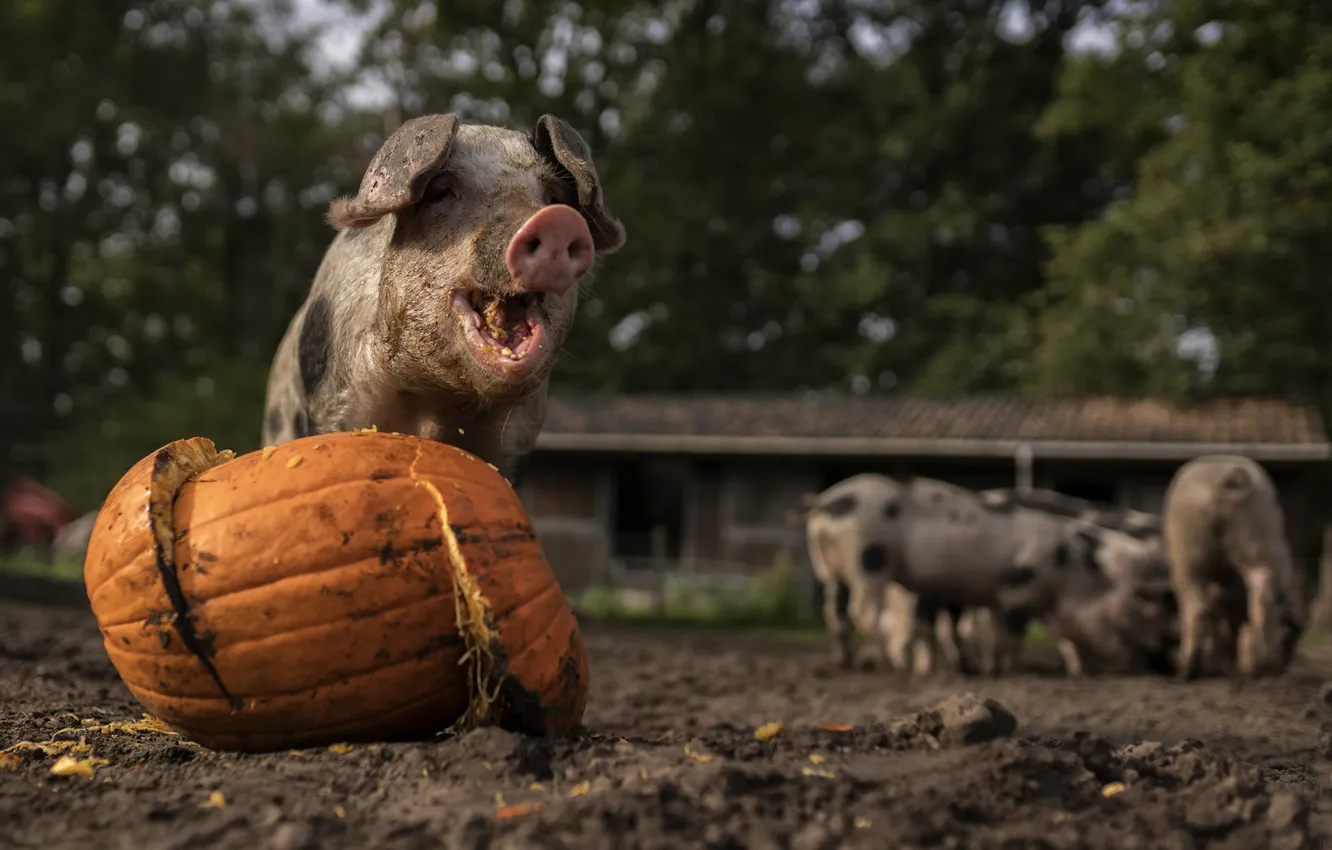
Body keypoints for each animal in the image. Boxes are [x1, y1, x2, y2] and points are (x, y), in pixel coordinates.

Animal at [266, 113, 634, 479]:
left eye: (554, 197)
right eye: (441, 192)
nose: (555, 221)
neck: (438, 403)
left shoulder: (514, 441)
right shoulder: (332, 407)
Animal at [1166, 455, 1300, 682]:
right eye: (1290, 639)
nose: (1285, 666)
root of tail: (1232, 478)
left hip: (1190, 555)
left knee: (1197, 606)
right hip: (1253, 539)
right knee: (1258, 594)